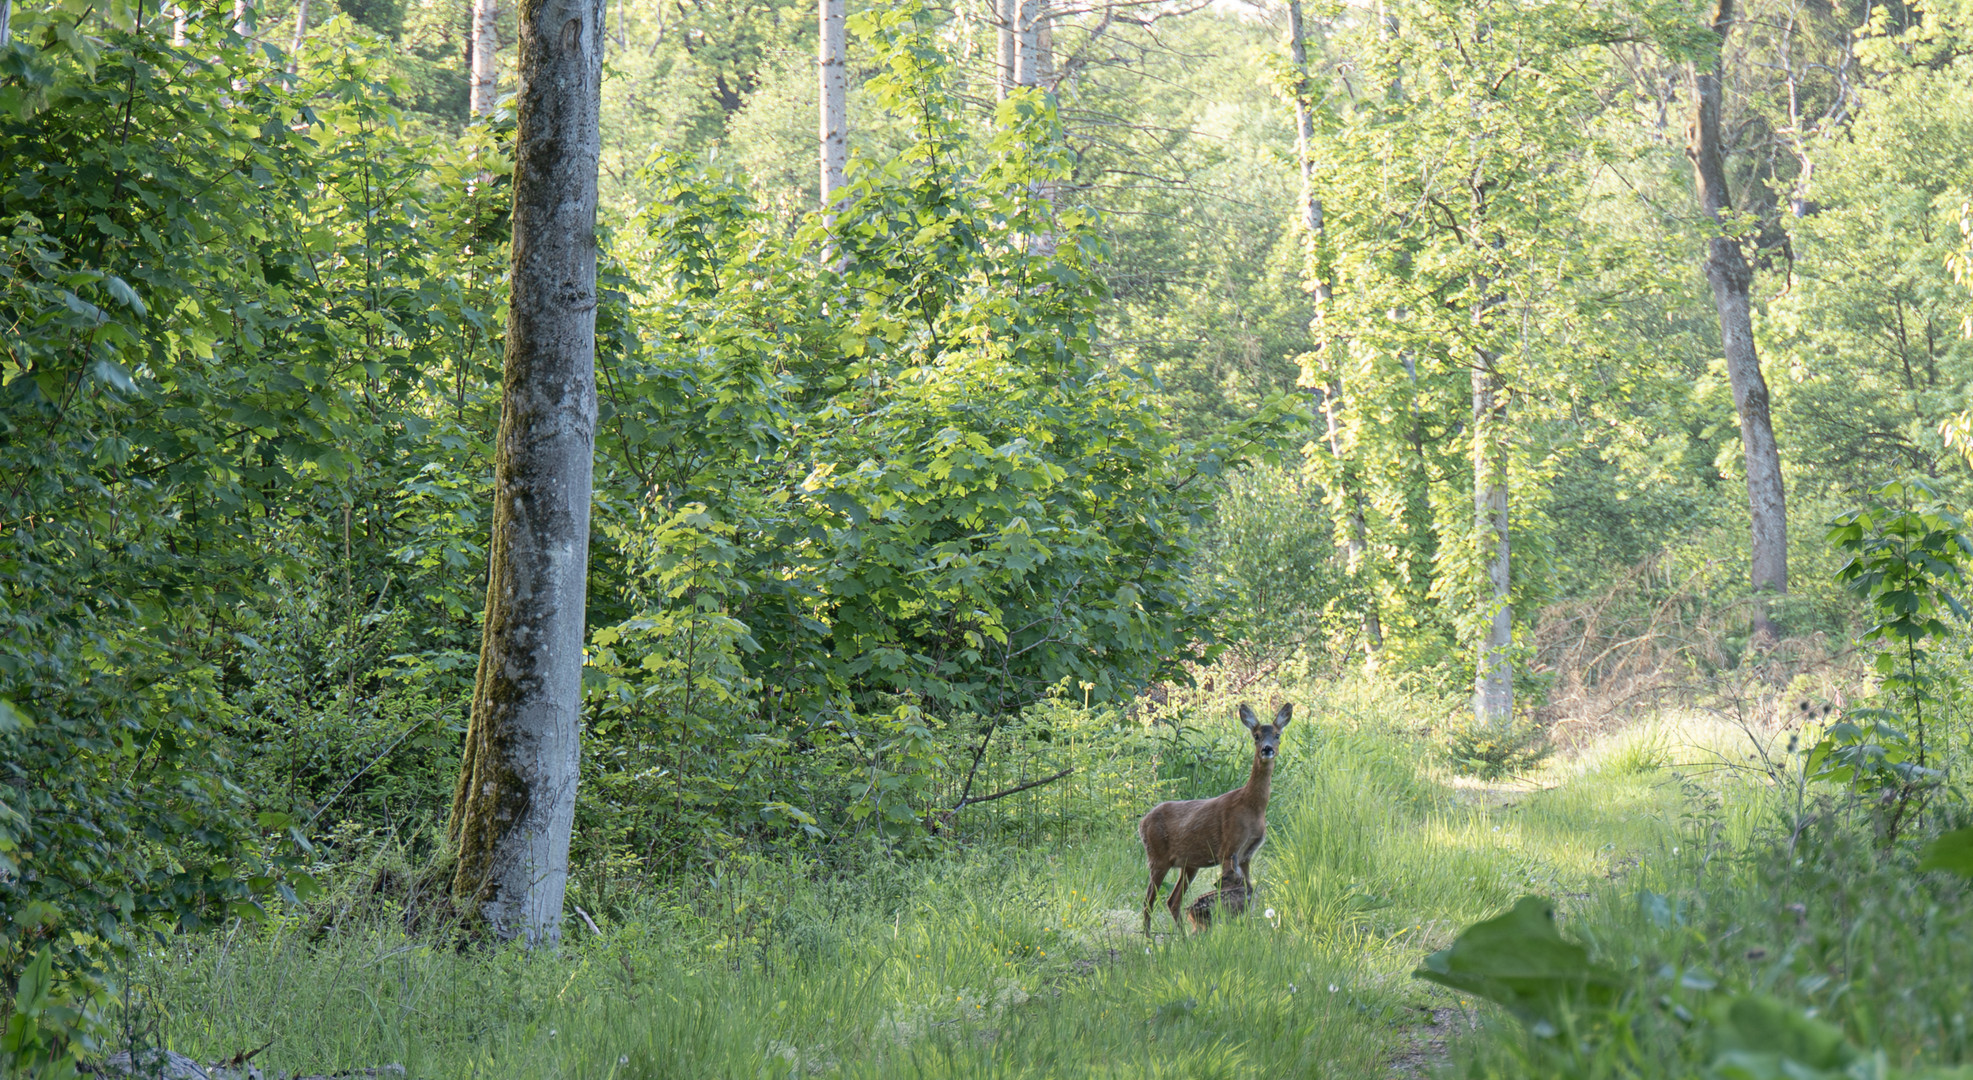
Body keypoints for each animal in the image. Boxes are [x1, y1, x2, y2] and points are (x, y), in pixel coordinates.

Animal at [1136, 702, 1286, 939]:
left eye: (1278, 735)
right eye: (1256, 735)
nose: (1267, 749)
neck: (1252, 806)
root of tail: (1141, 823)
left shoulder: (1248, 854)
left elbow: (1247, 888)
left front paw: (1248, 929)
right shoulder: (1229, 847)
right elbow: (1227, 888)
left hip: (1188, 864)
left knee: (1172, 900)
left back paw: (1183, 937)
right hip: (1157, 856)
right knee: (1148, 901)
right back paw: (1151, 939)